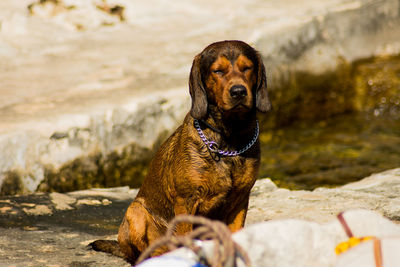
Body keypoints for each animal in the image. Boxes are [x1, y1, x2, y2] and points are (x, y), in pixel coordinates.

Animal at [90, 39, 270, 264]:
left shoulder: (240, 200)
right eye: (218, 71)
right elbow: (186, 237)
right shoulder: (186, 201)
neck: (230, 139)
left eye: (247, 68)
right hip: (136, 211)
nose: (238, 91)